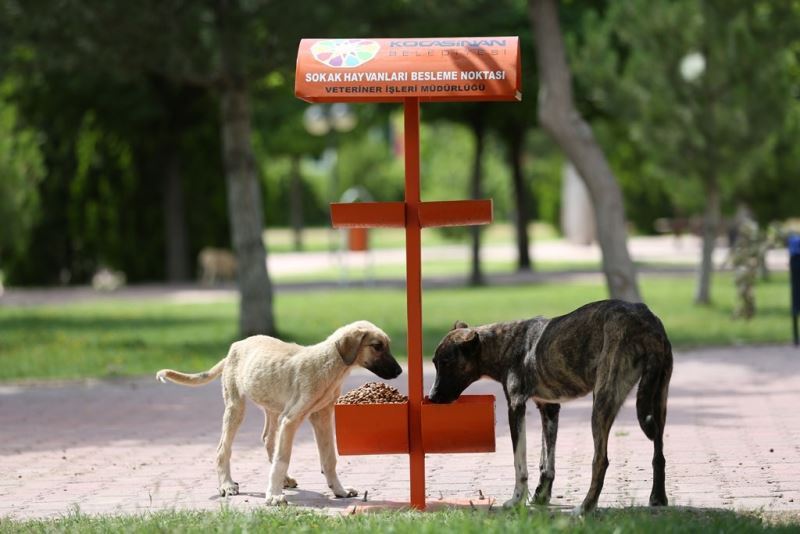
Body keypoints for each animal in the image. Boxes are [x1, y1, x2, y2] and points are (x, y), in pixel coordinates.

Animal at [428, 302, 672, 516]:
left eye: (446, 362)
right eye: (435, 362)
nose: (431, 397)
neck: (504, 345)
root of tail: (645, 322)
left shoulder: (516, 407)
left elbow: (520, 464)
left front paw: (517, 500)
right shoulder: (549, 408)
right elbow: (546, 461)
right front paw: (541, 496)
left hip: (602, 400)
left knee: (601, 461)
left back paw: (585, 508)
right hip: (659, 400)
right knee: (659, 454)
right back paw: (658, 498)